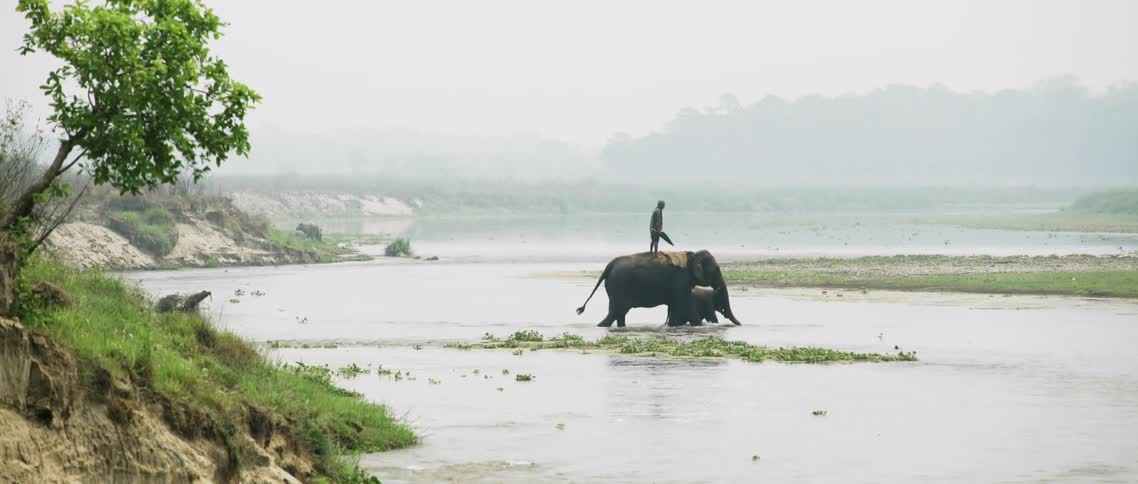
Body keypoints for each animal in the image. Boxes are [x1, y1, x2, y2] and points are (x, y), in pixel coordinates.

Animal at [576, 250, 740, 327]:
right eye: (716, 269)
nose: (740, 324)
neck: (692, 256)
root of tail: (609, 266)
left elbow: (676, 308)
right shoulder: (680, 280)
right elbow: (685, 306)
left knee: (618, 314)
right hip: (619, 287)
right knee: (616, 313)